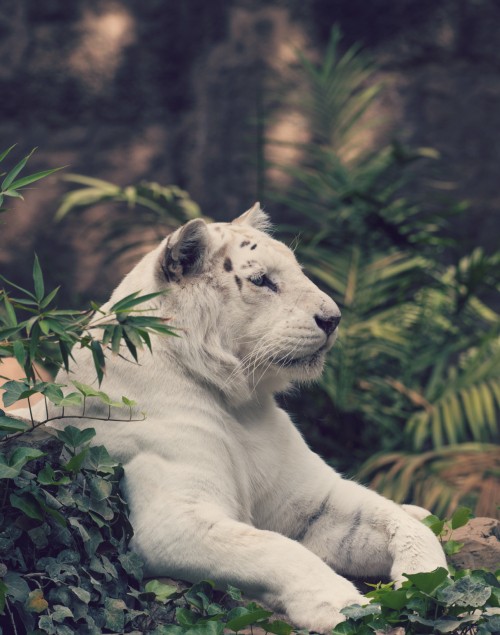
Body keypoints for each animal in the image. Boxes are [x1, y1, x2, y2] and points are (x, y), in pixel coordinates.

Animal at [37, 207, 448, 632]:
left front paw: (424, 576)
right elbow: (275, 547)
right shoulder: (172, 519)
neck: (239, 404)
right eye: (261, 280)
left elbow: (393, 520)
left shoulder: (312, 499)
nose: (333, 319)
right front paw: (342, 606)